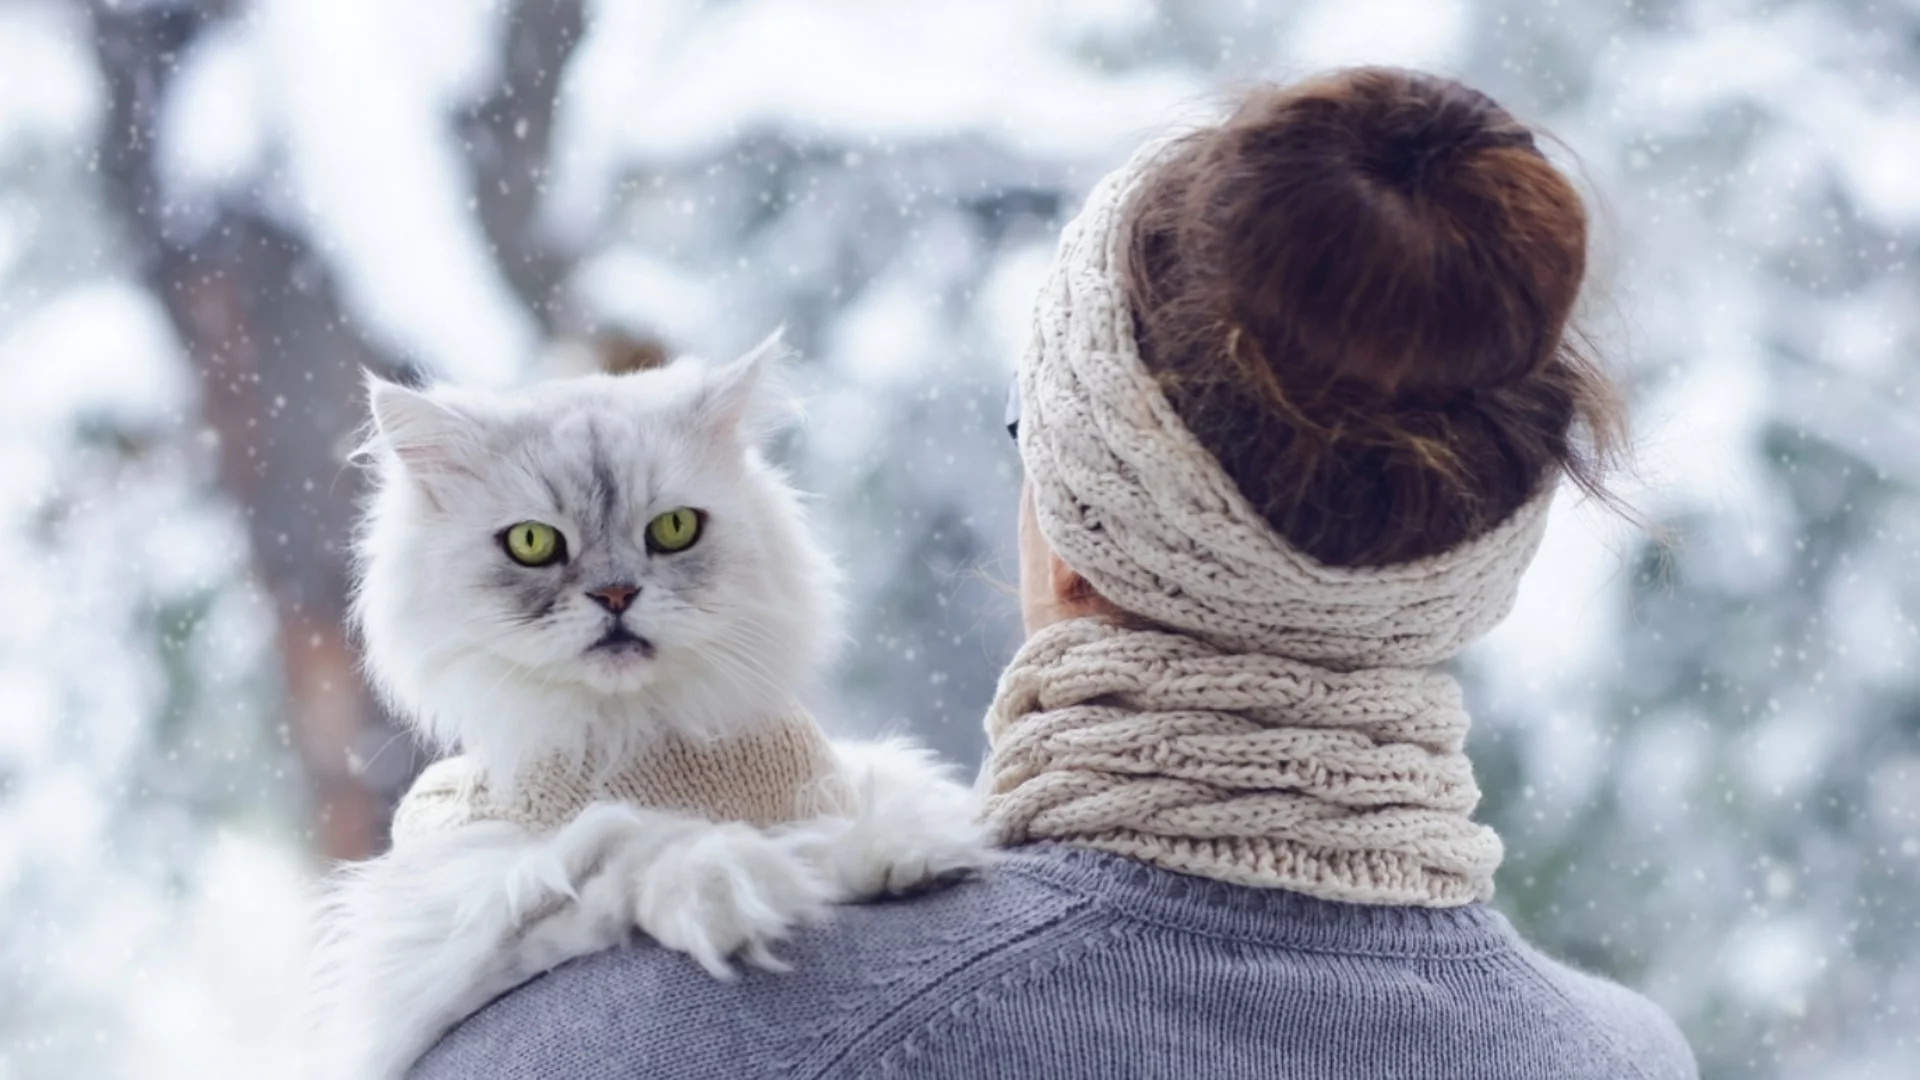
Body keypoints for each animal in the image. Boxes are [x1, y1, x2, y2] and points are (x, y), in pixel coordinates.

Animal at [303, 336, 990, 1076]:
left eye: (674, 529)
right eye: (531, 543)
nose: (615, 594)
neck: (637, 731)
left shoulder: (830, 781)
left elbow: (847, 819)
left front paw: (903, 850)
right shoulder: (446, 930)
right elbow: (626, 849)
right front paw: (729, 889)